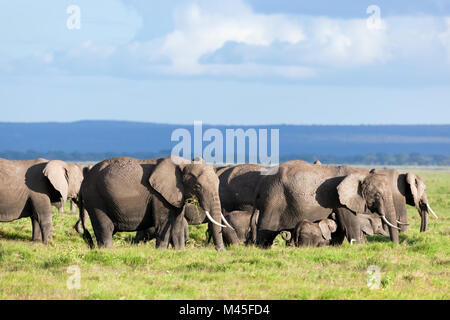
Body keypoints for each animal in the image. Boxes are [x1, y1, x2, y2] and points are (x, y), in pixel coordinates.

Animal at [78, 156, 230, 251]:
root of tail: (84, 179)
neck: (183, 162)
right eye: (197, 186)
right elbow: (163, 223)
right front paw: (162, 251)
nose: (221, 251)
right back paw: (107, 251)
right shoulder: (158, 196)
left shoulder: (175, 195)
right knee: (104, 227)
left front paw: (179, 251)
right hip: (95, 198)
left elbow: (178, 224)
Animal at [255, 160, 406, 248]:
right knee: (265, 234)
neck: (361, 173)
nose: (396, 247)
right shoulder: (340, 201)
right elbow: (350, 225)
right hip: (274, 199)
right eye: (377, 195)